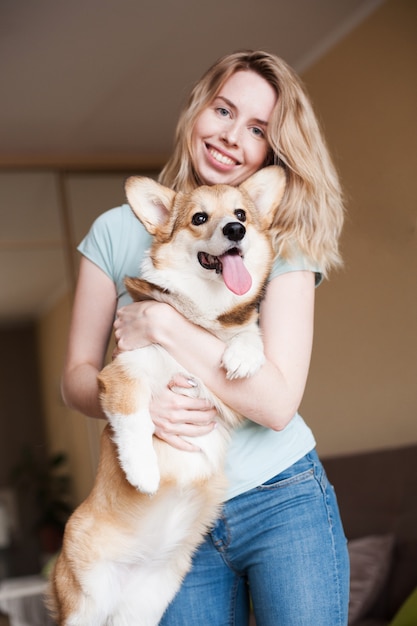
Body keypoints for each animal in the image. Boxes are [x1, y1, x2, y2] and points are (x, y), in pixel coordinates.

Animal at [47, 163, 284, 620]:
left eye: (242, 215)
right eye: (199, 218)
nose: (235, 230)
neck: (202, 312)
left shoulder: (227, 397)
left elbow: (250, 335)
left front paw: (243, 355)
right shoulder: (123, 372)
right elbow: (136, 418)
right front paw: (142, 473)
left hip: (146, 606)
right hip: (86, 606)